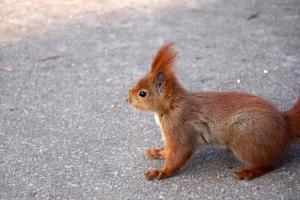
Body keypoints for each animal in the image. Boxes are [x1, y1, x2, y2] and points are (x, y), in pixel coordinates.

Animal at [124, 42, 300, 181]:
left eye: (142, 93)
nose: (126, 99)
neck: (173, 105)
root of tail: (285, 125)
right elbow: (169, 151)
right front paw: (159, 152)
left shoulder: (179, 129)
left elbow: (179, 153)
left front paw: (161, 172)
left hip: (244, 138)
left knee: (269, 162)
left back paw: (249, 172)